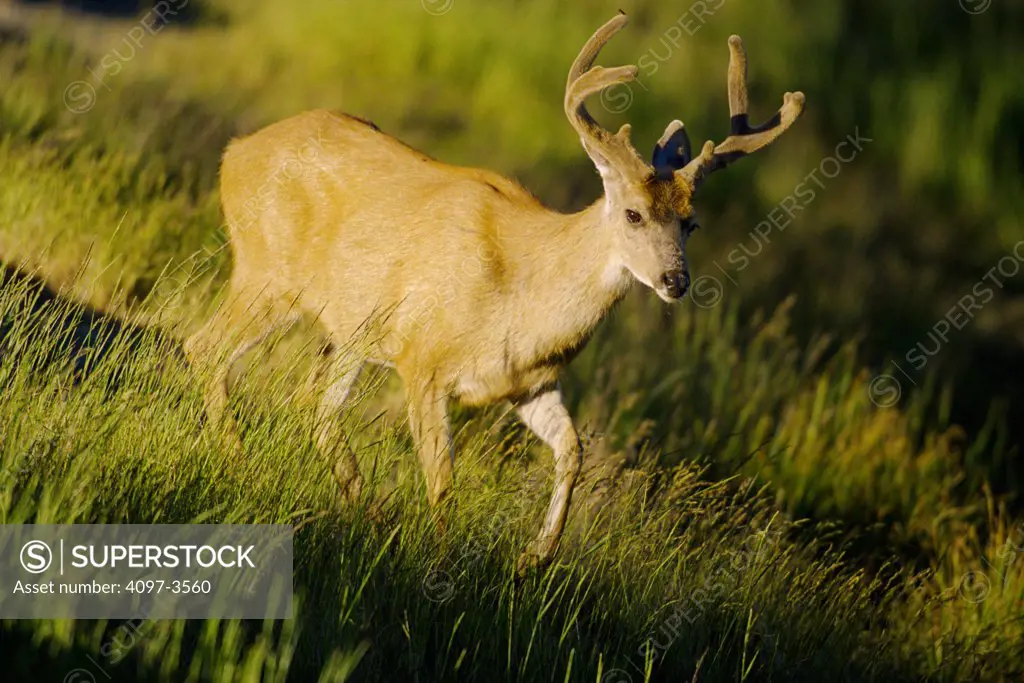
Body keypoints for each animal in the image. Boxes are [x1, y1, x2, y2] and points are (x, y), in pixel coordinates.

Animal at [188, 12, 802, 573]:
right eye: (632, 214)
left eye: (691, 223)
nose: (676, 281)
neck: (519, 294)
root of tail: (233, 152)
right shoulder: (423, 360)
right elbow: (441, 476)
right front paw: (437, 564)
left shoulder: (529, 382)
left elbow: (573, 451)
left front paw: (537, 555)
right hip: (267, 275)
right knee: (208, 349)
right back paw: (240, 466)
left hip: (348, 330)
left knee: (312, 405)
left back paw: (368, 512)